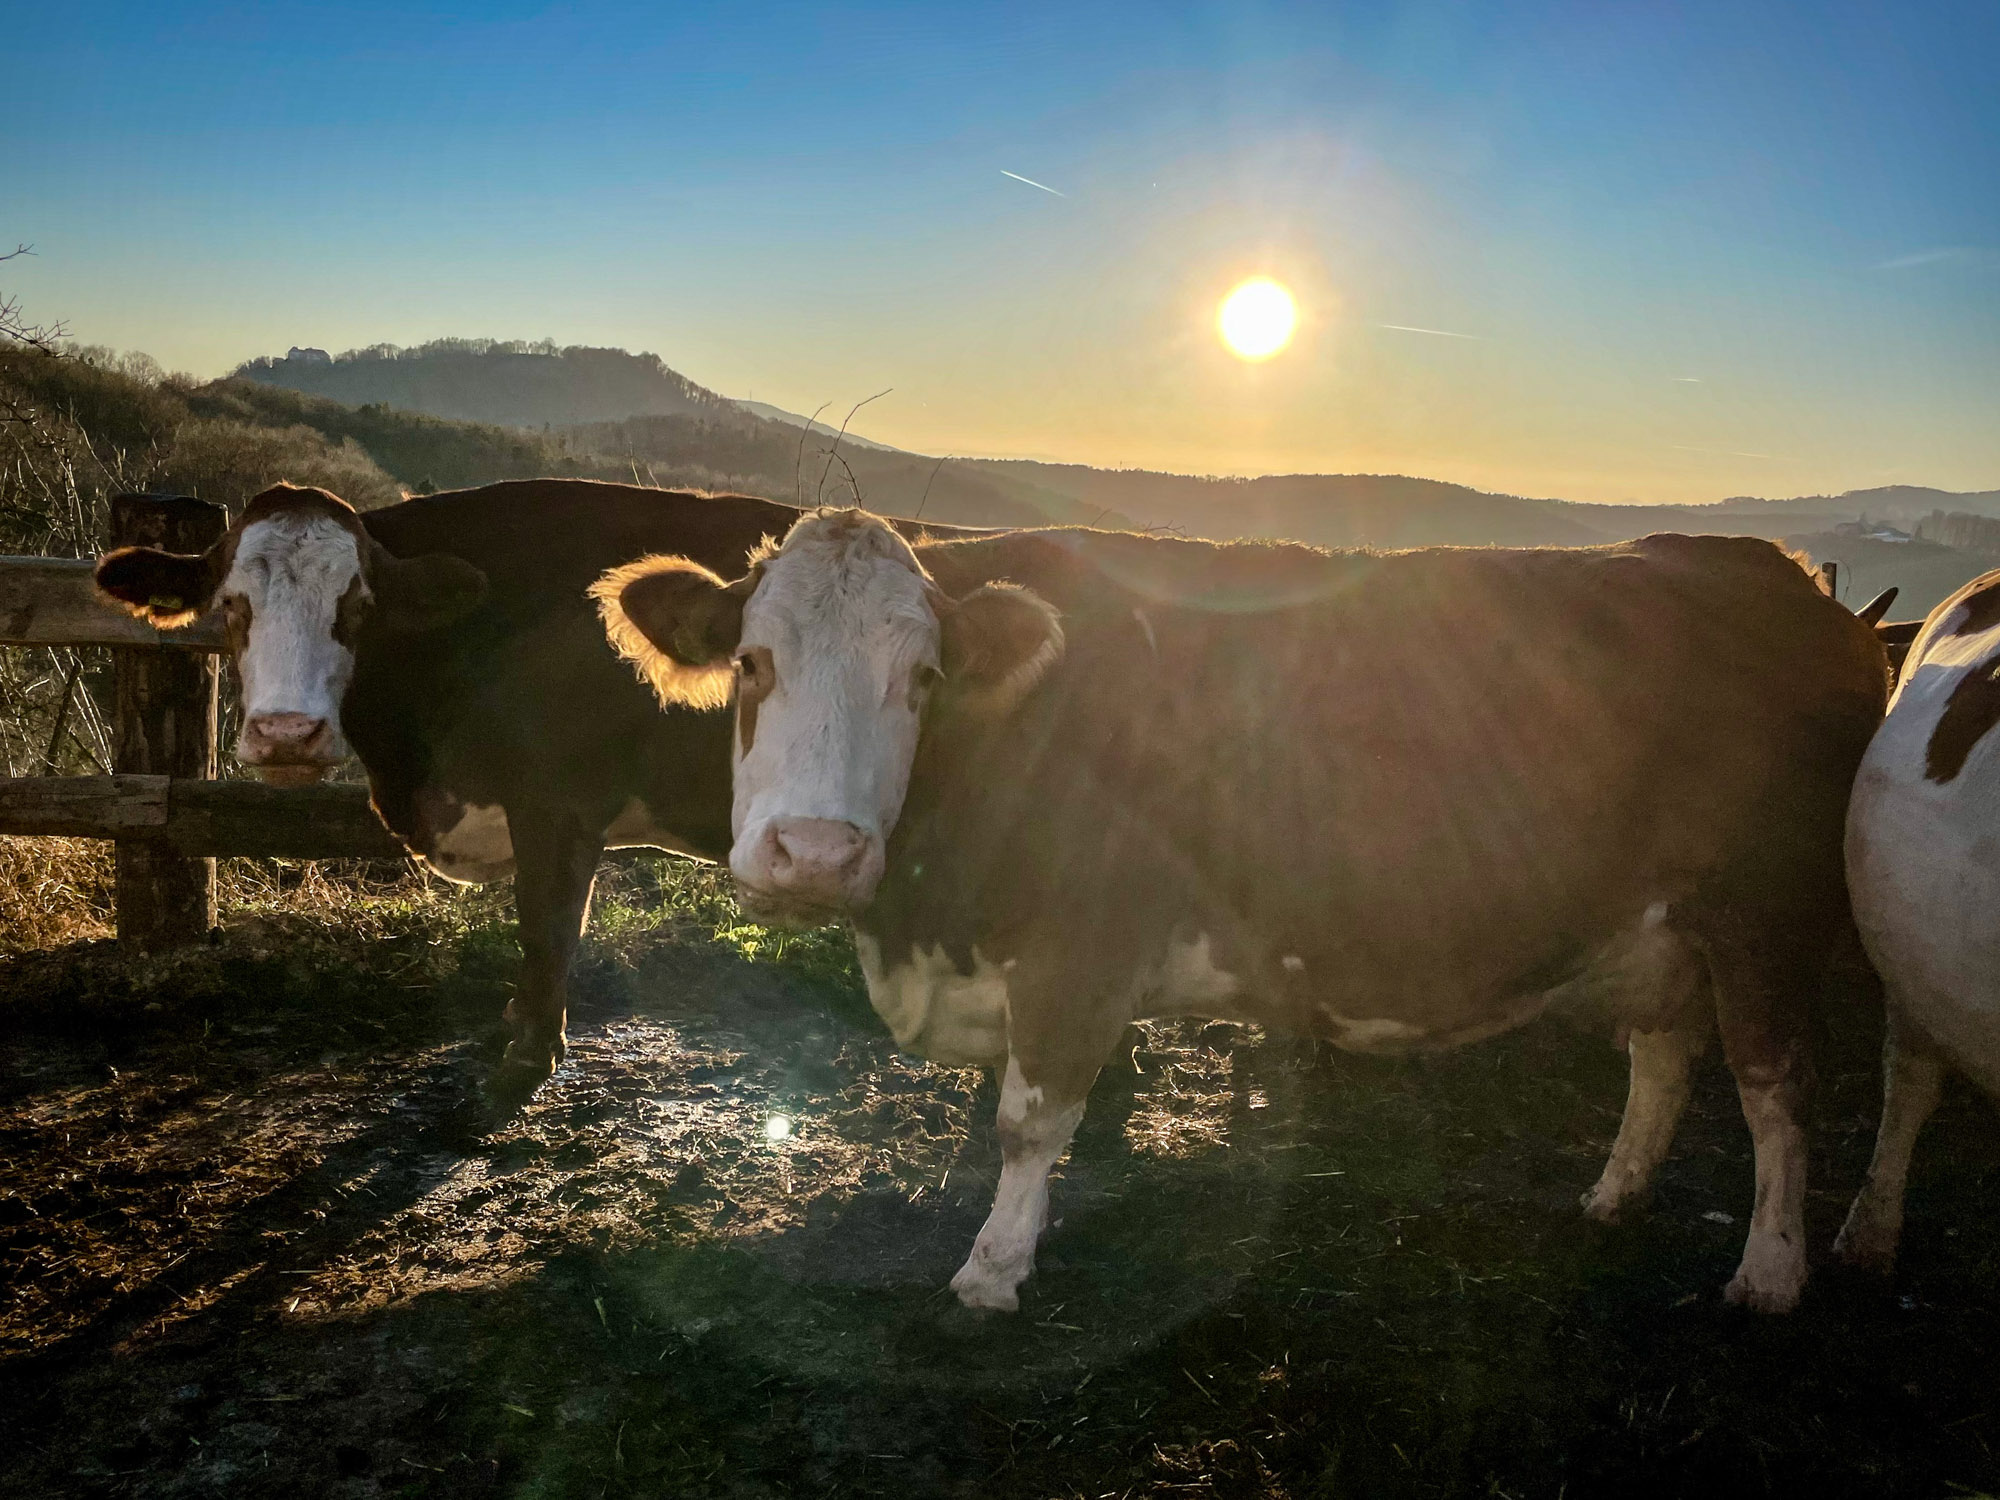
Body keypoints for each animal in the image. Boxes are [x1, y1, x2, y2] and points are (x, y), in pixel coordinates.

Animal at [94, 479, 936, 1100]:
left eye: (358, 605)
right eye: (232, 605)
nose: (286, 733)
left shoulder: (557, 810)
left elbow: (546, 927)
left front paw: (531, 1052)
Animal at [598, 509, 1888, 1313]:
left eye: (921, 677)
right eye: (753, 662)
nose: (816, 853)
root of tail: (1780, 577)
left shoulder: (1078, 943)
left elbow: (1029, 1117)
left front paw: (994, 1266)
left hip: (1768, 920)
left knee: (1776, 1092)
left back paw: (1770, 1271)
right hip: (1661, 929)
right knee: (1664, 1056)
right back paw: (1611, 1196)